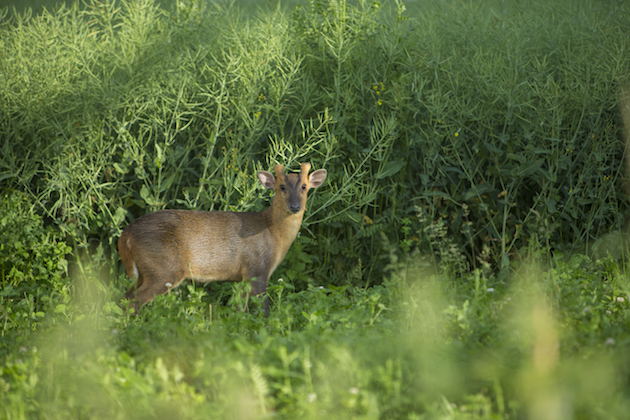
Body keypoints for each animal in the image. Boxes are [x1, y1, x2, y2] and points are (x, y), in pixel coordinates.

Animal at [118, 162, 328, 314]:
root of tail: (126, 235)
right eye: (282, 187)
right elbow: (263, 309)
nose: (295, 206)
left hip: (146, 271)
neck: (274, 232)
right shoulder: (257, 268)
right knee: (134, 300)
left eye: (304, 187)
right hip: (164, 268)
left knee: (125, 297)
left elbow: (240, 309)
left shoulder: (242, 277)